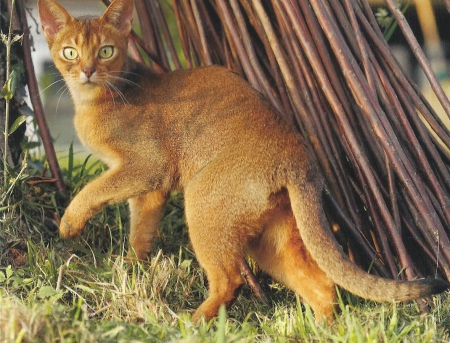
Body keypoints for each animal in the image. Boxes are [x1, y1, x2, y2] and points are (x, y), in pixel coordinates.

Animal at [37, 0, 446, 324]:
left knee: (230, 280)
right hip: (270, 239)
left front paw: (69, 223)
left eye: (106, 51)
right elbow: (142, 228)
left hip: (203, 201)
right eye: (70, 52)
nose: (87, 70)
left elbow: (96, 188)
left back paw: (194, 323)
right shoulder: (150, 188)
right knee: (322, 283)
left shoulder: (149, 165)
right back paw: (322, 330)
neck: (96, 100)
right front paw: (134, 263)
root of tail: (299, 157)